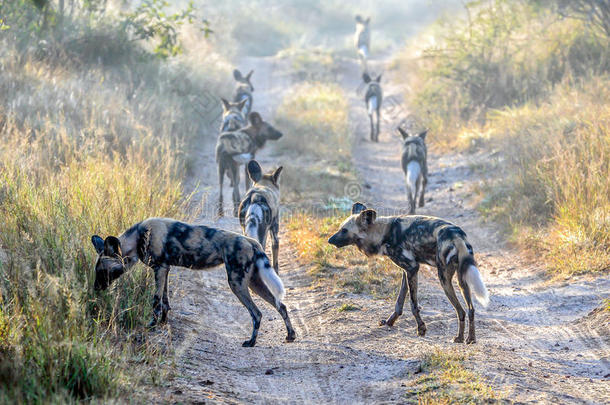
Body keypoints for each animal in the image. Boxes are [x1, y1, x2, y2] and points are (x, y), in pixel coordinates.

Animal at [91, 216, 296, 346]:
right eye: (97, 271)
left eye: (103, 272)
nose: (95, 289)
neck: (138, 237)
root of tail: (251, 241)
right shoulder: (165, 269)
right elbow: (165, 301)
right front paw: (163, 323)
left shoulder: (159, 269)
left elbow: (156, 301)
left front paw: (152, 325)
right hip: (254, 284)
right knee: (281, 305)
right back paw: (290, 335)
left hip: (236, 284)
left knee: (257, 313)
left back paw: (251, 342)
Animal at [328, 201, 490, 340]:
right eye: (340, 228)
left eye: (344, 230)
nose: (329, 240)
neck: (382, 232)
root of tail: (455, 235)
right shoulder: (406, 271)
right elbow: (399, 303)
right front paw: (389, 322)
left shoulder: (412, 268)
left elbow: (413, 305)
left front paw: (421, 329)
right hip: (462, 280)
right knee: (471, 309)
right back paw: (470, 339)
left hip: (443, 279)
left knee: (460, 310)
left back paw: (459, 339)